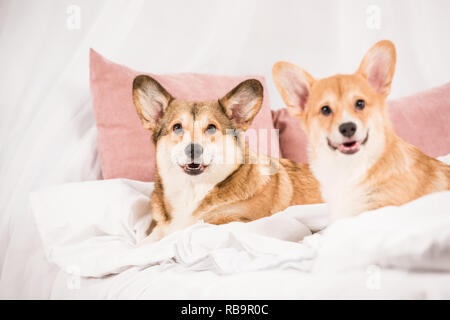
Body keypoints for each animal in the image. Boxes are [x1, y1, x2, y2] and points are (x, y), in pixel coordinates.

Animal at [132, 75, 322, 245]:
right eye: (177, 127)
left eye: (211, 127)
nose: (193, 149)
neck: (193, 189)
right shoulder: (160, 229)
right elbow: (143, 244)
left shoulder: (238, 221)